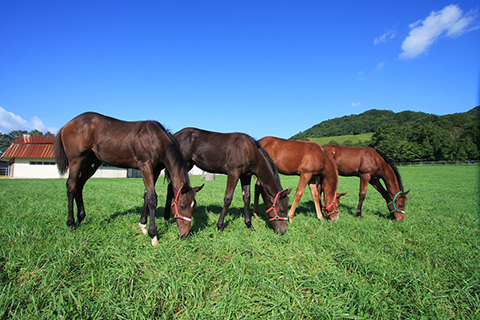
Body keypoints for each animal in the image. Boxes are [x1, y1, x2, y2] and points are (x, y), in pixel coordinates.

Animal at [53, 112, 203, 245]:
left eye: (194, 206)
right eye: (182, 206)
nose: (184, 234)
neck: (155, 139)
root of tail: (66, 126)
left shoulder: (155, 170)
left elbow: (146, 195)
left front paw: (142, 225)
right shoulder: (145, 166)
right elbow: (152, 198)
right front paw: (153, 235)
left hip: (92, 163)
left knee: (80, 185)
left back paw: (80, 218)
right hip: (76, 160)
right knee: (71, 186)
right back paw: (70, 222)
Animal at [162, 127, 292, 235]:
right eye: (282, 209)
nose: (283, 231)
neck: (249, 150)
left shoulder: (245, 176)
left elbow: (246, 198)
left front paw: (249, 225)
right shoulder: (233, 173)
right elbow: (228, 198)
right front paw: (220, 226)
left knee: (172, 187)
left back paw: (167, 217)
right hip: (184, 164)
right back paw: (166, 217)